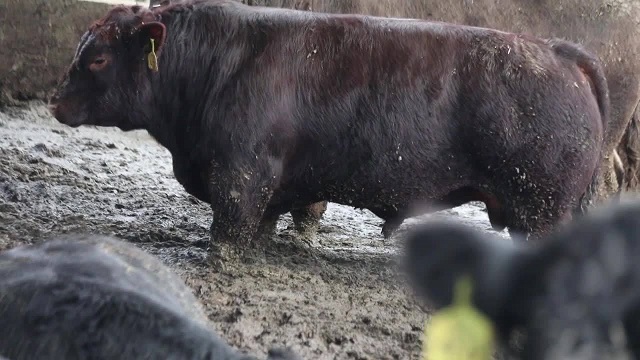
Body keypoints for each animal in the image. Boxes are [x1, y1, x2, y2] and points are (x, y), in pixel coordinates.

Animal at [48, 0, 604, 262]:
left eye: (98, 59)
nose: (54, 100)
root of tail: (558, 52)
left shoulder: (239, 175)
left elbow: (229, 233)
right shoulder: (270, 187)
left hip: (541, 206)